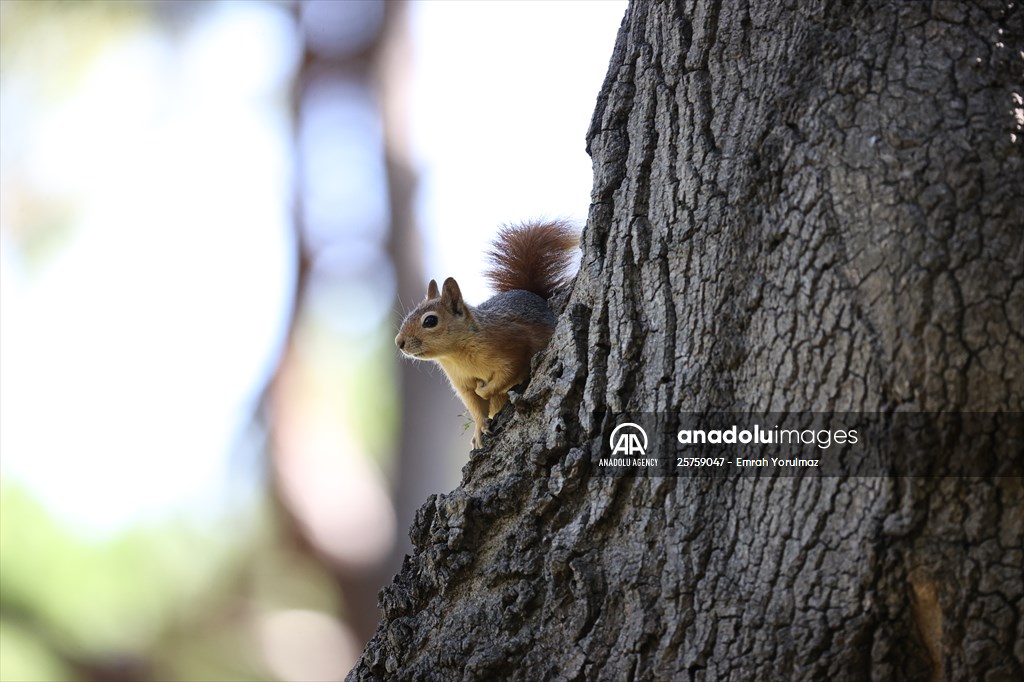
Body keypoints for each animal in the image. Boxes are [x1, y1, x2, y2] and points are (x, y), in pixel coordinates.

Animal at [395, 219, 580, 449]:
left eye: (430, 321)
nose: (399, 342)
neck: (457, 355)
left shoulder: (513, 346)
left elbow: (504, 375)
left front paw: (484, 388)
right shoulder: (462, 383)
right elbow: (474, 404)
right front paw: (479, 429)